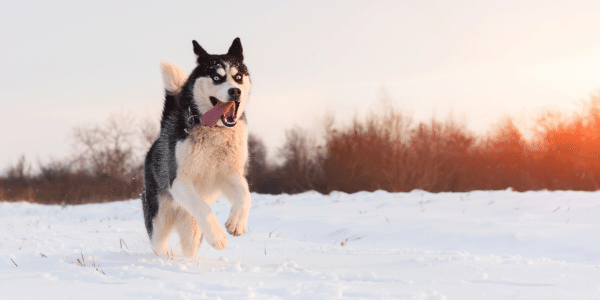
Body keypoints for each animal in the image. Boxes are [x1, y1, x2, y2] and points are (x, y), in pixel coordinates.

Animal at [141, 37, 251, 256]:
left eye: (238, 77)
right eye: (216, 77)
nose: (235, 91)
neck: (215, 132)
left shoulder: (229, 175)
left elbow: (246, 194)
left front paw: (237, 223)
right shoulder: (178, 181)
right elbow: (201, 206)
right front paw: (217, 237)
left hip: (190, 229)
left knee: (189, 248)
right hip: (159, 221)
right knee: (158, 244)